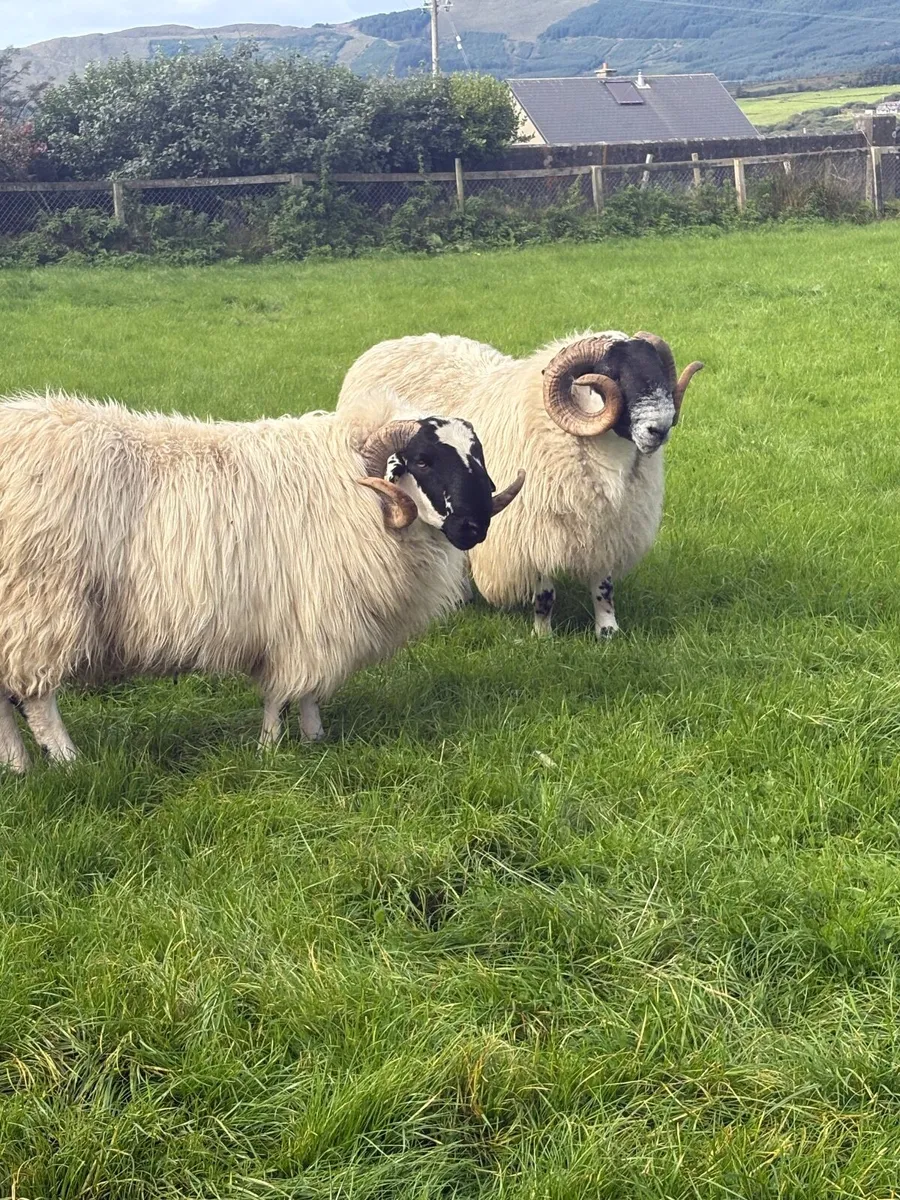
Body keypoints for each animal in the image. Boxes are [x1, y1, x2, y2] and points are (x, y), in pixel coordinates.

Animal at [0, 391, 524, 772]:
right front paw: (271, 749)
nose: (474, 527)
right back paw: (68, 763)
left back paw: (18, 769)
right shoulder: (304, 619)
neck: (356, 490)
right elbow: (283, 691)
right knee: (36, 698)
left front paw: (314, 739)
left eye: (476, 456)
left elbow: (306, 691)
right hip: (37, 605)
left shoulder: (305, 621)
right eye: (422, 462)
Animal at [337, 330, 702, 638]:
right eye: (611, 374)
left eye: (658, 369)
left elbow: (603, 587)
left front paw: (608, 632)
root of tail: (386, 345)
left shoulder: (605, 528)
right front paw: (543, 636)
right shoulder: (533, 534)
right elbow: (545, 594)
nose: (660, 428)